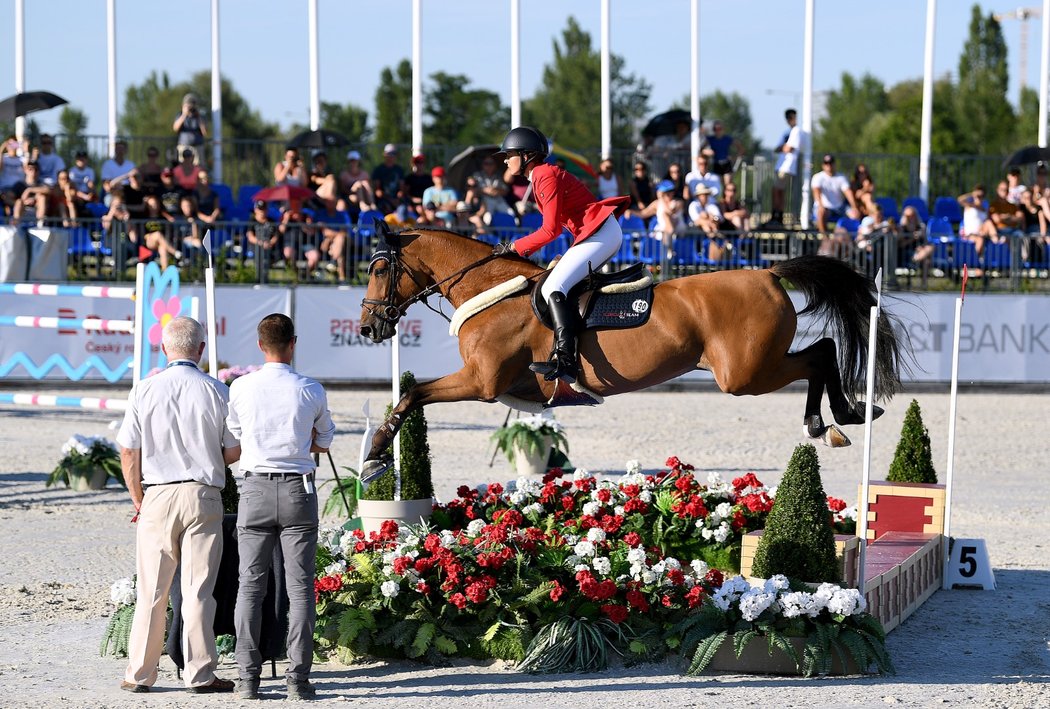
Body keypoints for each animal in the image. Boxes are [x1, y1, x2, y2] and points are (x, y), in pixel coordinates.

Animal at [356, 225, 907, 476]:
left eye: (380, 269)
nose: (366, 327)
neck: (491, 289)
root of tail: (769, 272)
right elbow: (413, 395)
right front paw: (378, 453)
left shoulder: (481, 381)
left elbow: (412, 395)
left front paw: (376, 455)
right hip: (753, 369)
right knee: (822, 351)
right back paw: (840, 417)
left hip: (745, 374)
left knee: (820, 353)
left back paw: (835, 419)